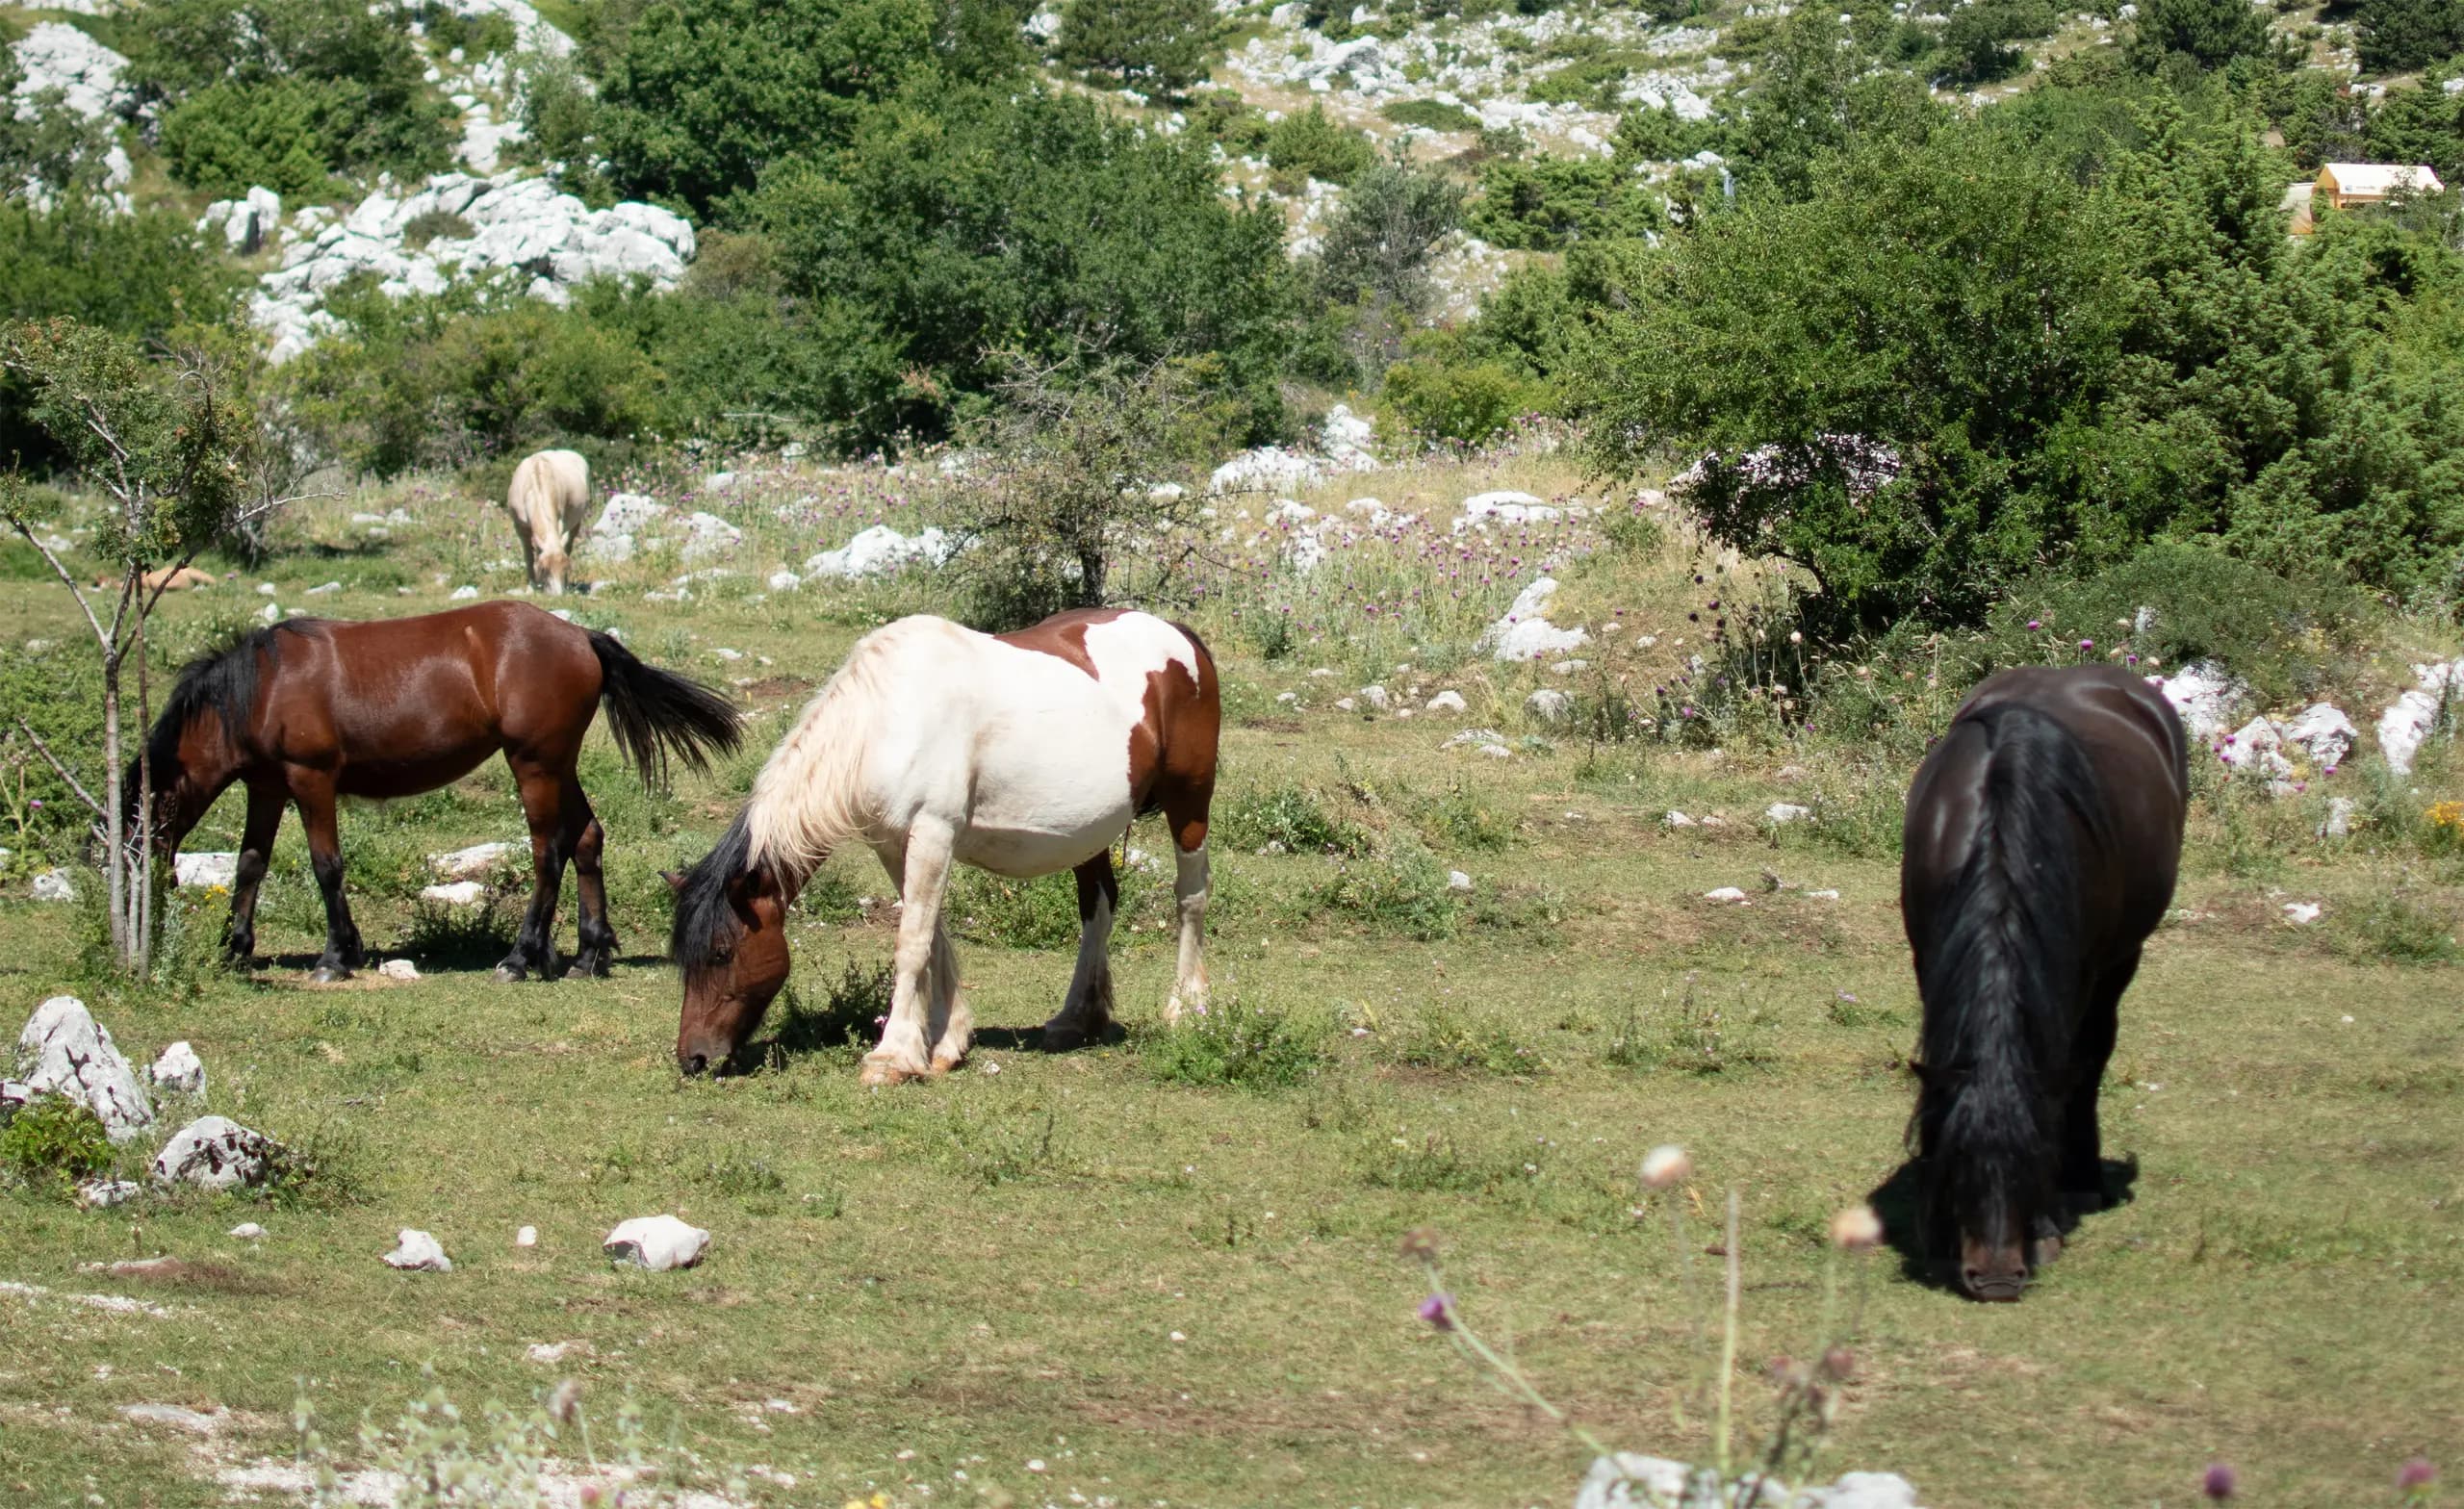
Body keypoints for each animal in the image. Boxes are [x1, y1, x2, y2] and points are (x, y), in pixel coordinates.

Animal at [141, 601, 739, 976]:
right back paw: (587, 955)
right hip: (556, 765)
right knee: (586, 838)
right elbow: (250, 864)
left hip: (535, 765)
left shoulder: (312, 779)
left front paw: (336, 957)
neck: (263, 687)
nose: (153, 907)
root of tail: (581, 637)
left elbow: (326, 865)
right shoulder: (266, 788)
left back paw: (521, 958)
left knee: (548, 853)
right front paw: (236, 949)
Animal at [500, 444, 591, 591]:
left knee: (568, 546)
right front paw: (532, 586)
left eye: (565, 568)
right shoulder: (520, 527)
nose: (558, 594)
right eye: (544, 569)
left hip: (576, 522)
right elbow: (529, 556)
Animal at [1892, 665, 2188, 1301]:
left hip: (2118, 963)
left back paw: (2084, 1180)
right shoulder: (1929, 956)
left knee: (2091, 1062)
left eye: (2032, 1163)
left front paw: (2048, 1223)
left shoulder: (2074, 973)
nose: (1998, 1278)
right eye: (1961, 1163)